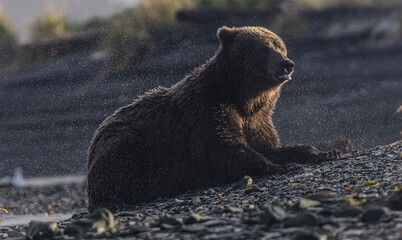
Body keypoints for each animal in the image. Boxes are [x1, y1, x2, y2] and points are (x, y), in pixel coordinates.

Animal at [86, 25, 340, 211]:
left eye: (280, 46)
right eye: (264, 49)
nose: (287, 64)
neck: (242, 97)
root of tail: (95, 136)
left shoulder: (257, 120)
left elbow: (270, 146)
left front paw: (326, 152)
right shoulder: (206, 111)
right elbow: (224, 149)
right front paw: (281, 166)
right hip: (125, 145)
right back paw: (115, 200)